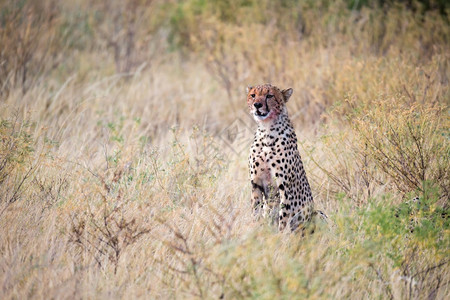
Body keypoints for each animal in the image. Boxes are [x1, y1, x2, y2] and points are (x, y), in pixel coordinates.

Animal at [248, 84, 326, 232]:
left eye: (269, 96)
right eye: (253, 95)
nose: (257, 105)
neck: (267, 130)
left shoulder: (284, 186)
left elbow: (283, 217)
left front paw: (281, 236)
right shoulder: (256, 183)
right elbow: (255, 212)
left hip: (317, 213)